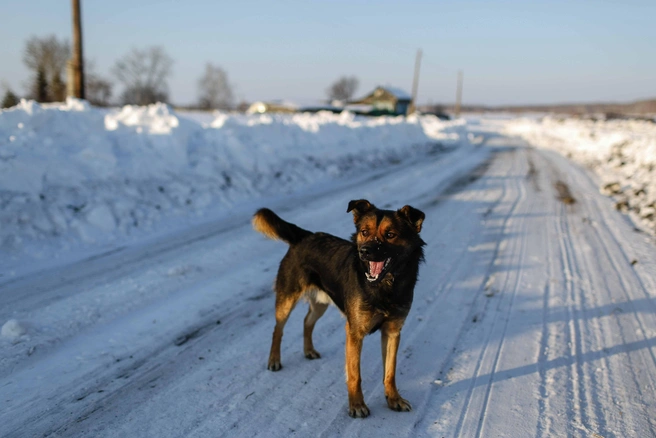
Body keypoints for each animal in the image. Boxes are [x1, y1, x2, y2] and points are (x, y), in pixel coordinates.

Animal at [251, 198, 426, 418]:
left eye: (390, 234)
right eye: (364, 232)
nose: (364, 251)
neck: (385, 285)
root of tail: (305, 236)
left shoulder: (392, 331)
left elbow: (390, 371)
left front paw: (394, 399)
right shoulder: (354, 333)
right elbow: (355, 374)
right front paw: (357, 405)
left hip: (321, 303)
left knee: (307, 321)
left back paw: (308, 350)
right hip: (287, 299)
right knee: (278, 329)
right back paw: (274, 360)